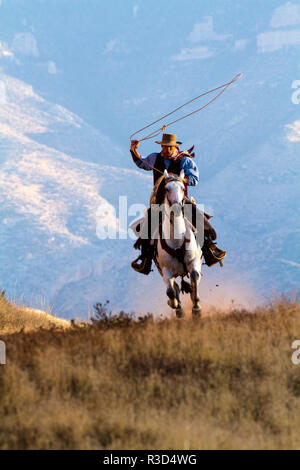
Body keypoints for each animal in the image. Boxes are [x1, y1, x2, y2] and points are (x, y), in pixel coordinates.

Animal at [154, 171, 203, 318]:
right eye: (166, 188)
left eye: (182, 187)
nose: (176, 208)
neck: (176, 240)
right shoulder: (166, 271)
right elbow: (170, 291)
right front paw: (175, 304)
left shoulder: (194, 262)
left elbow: (194, 278)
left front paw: (196, 309)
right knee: (174, 287)